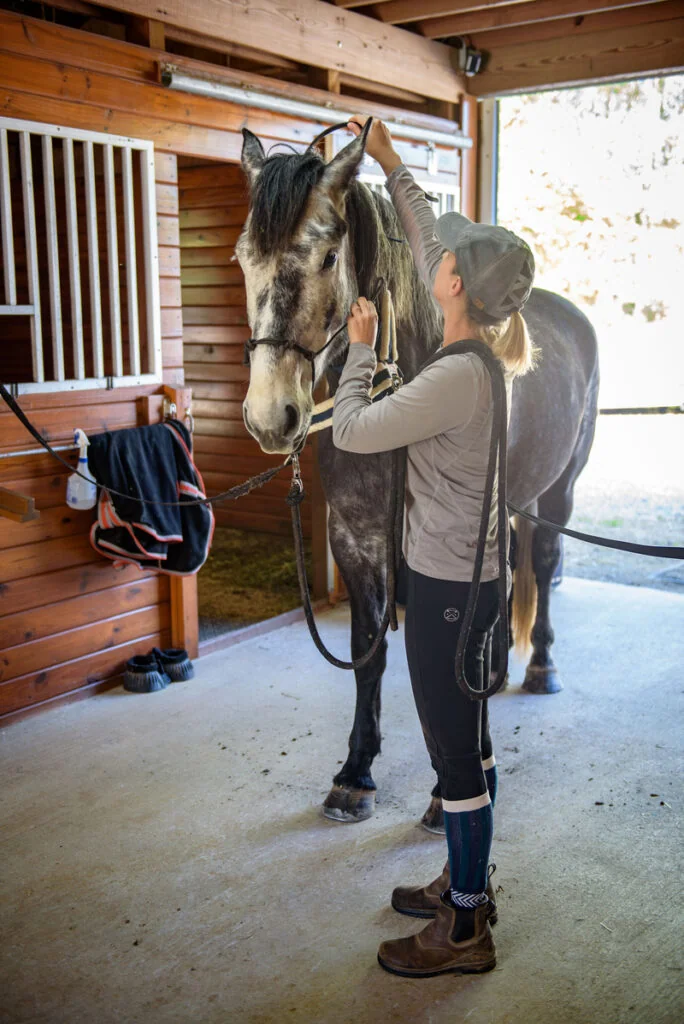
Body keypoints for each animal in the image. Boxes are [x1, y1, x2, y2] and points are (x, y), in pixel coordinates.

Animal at [235, 124, 599, 828]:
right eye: (243, 258)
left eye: (327, 257)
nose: (272, 417)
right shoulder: (360, 542)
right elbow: (370, 653)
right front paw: (355, 774)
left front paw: (449, 783)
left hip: (559, 490)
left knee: (543, 564)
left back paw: (541, 667)